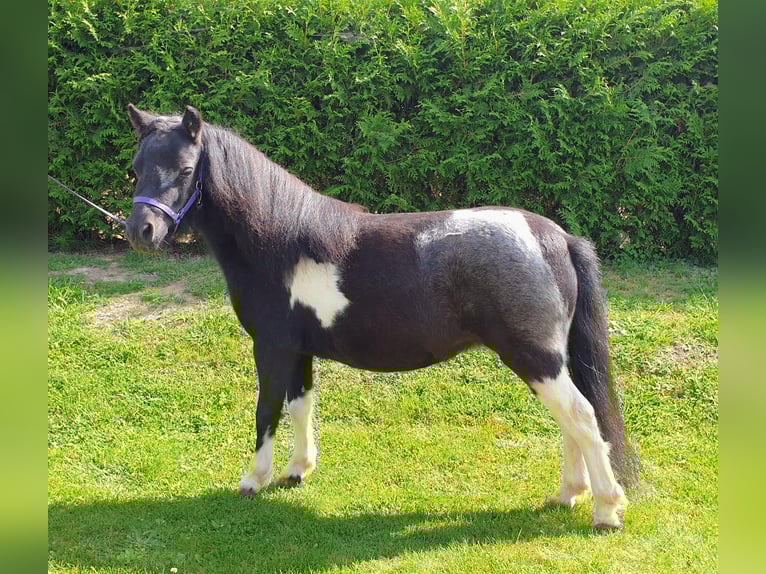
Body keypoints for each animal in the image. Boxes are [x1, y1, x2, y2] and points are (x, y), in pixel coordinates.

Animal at [125, 104, 636, 529]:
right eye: (136, 168)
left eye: (185, 169)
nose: (140, 231)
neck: (279, 244)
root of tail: (556, 237)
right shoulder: (299, 351)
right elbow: (300, 405)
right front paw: (297, 471)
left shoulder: (270, 347)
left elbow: (266, 410)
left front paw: (255, 479)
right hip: (549, 362)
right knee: (571, 420)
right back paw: (567, 495)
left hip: (536, 359)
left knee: (582, 417)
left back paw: (606, 511)